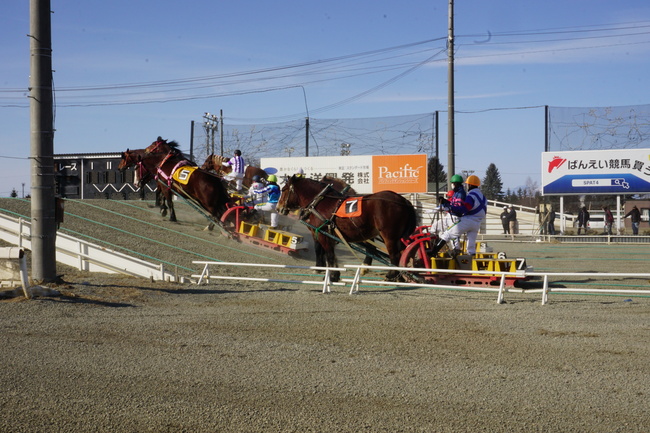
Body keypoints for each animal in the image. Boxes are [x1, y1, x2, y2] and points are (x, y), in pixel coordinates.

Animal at [276, 175, 412, 280]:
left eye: (283, 189)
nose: (278, 208)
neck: (320, 202)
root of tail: (402, 200)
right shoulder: (328, 234)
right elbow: (329, 254)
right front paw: (329, 272)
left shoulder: (321, 232)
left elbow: (326, 252)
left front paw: (329, 274)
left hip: (388, 236)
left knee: (394, 255)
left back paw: (390, 275)